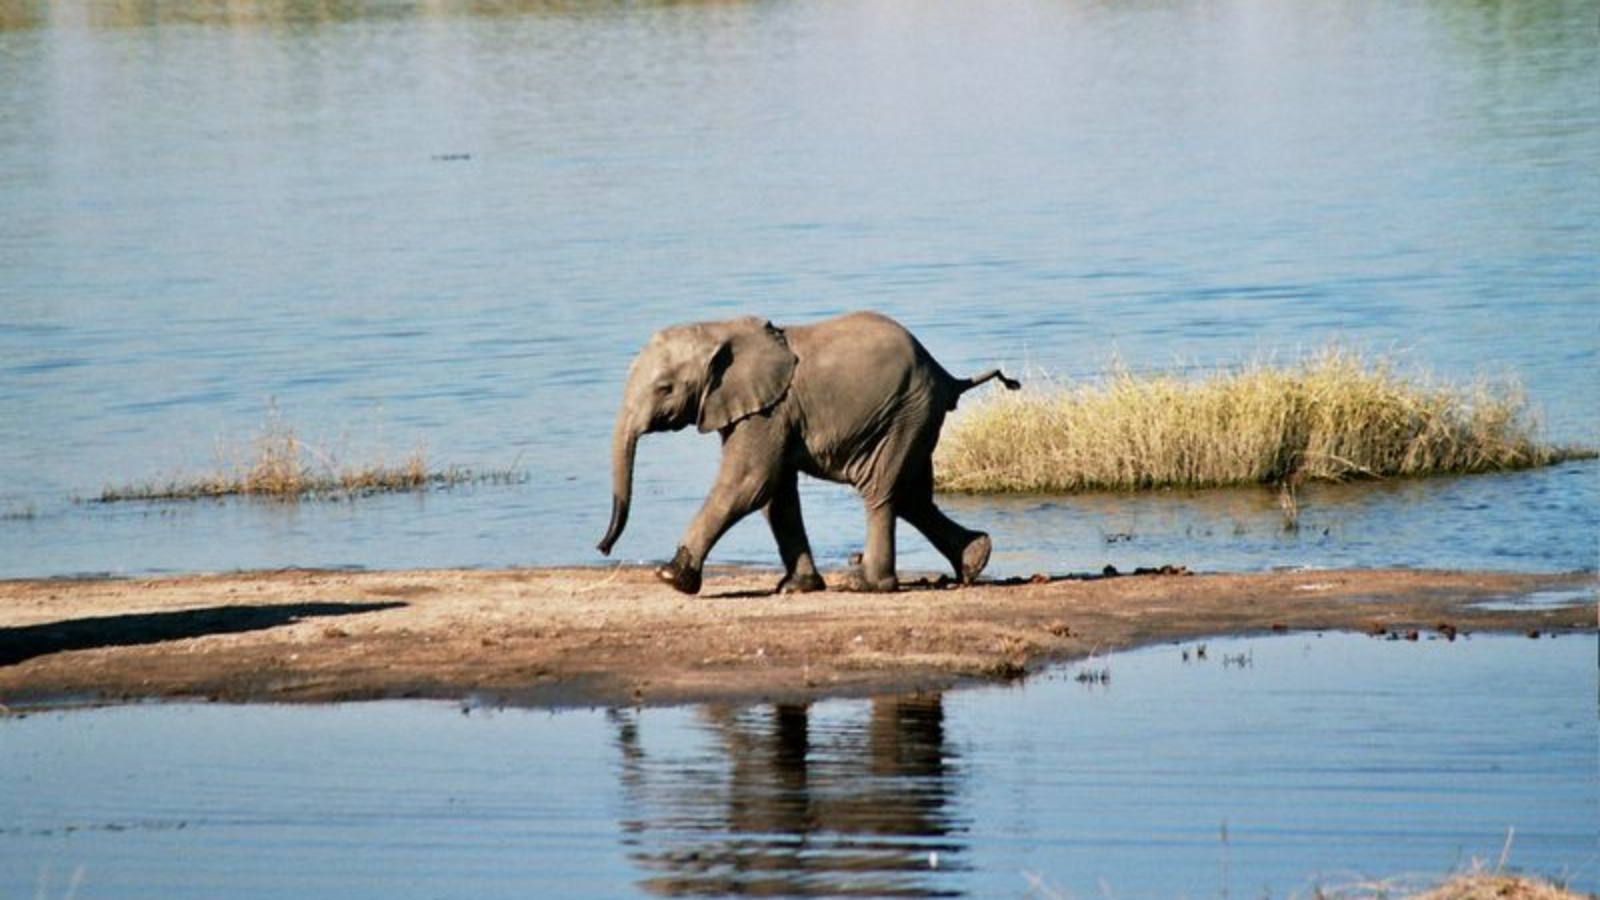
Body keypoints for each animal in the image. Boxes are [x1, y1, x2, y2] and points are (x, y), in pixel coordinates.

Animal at [595, 312, 1017, 592]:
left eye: (664, 389)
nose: (603, 547)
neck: (719, 329)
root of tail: (946, 375)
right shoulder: (764, 410)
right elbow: (775, 494)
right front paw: (797, 587)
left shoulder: (768, 410)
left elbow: (749, 484)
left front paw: (670, 576)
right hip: (912, 417)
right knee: (912, 497)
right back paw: (975, 561)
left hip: (905, 413)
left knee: (881, 491)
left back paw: (866, 584)